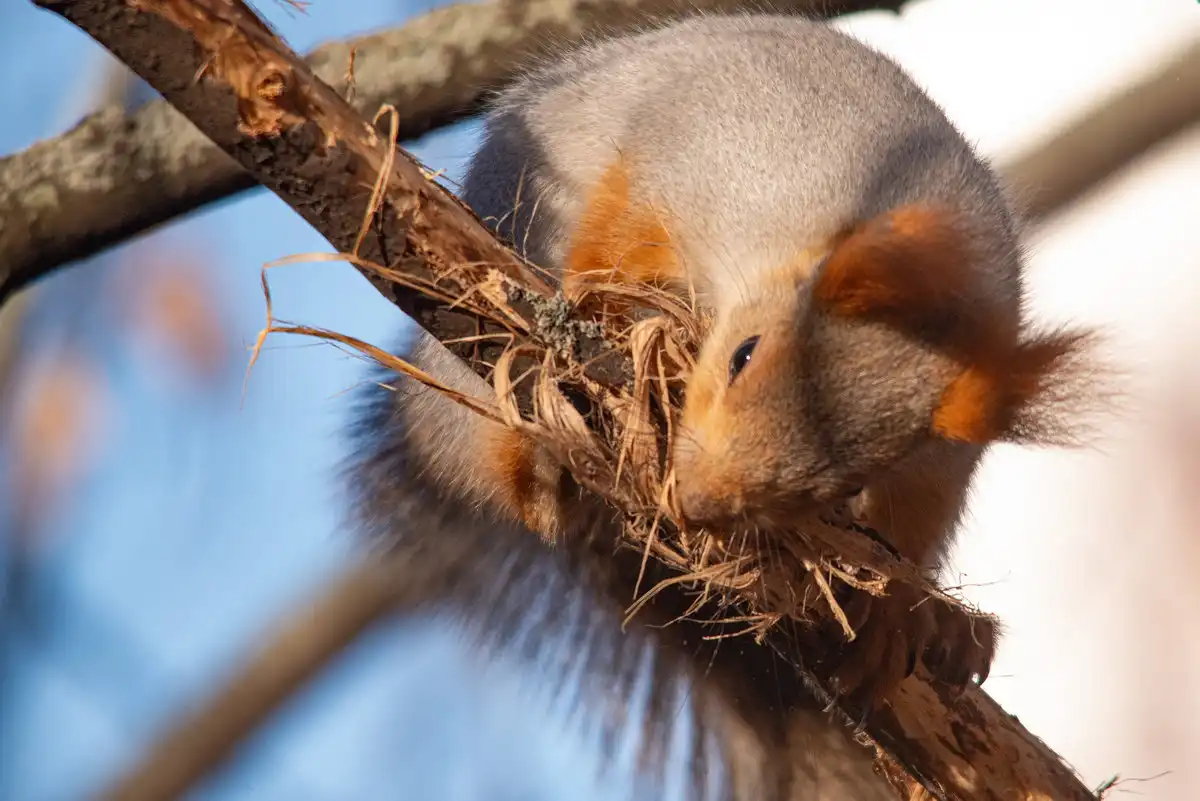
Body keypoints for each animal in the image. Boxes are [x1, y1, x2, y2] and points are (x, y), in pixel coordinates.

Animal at [345, 13, 1095, 801]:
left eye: (842, 480)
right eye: (743, 355)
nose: (698, 504)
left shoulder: (948, 443)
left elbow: (919, 518)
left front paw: (898, 613)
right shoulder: (675, 158)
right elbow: (615, 231)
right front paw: (610, 311)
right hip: (465, 382)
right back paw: (547, 464)